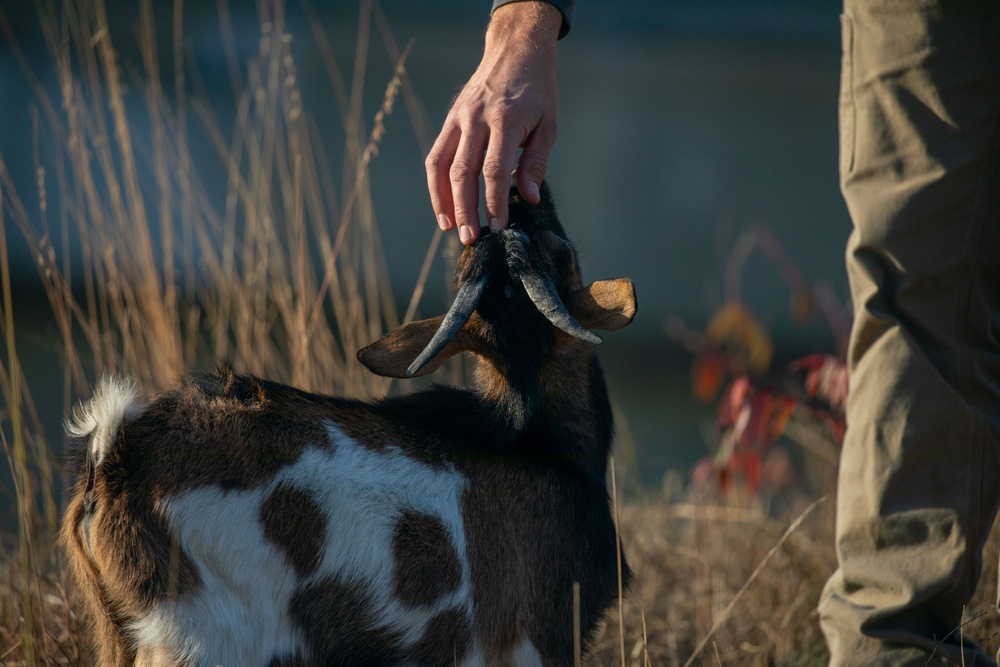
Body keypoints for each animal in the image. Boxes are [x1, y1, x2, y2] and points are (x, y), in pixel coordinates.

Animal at [62, 183, 640, 667]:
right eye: (562, 250)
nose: (517, 197)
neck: (532, 436)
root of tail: (115, 453)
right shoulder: (533, 639)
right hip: (202, 639)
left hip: (118, 634)